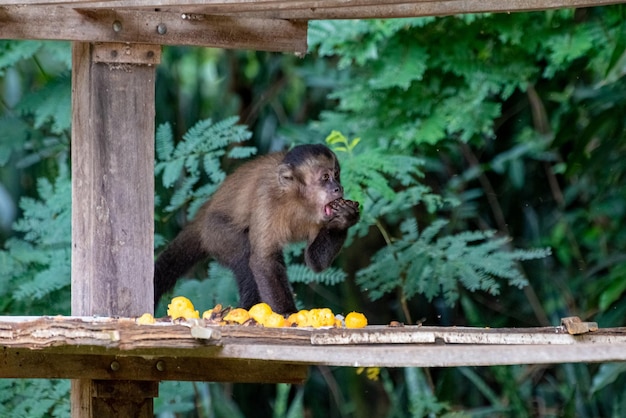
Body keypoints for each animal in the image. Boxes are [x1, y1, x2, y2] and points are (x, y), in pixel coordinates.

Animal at [154, 144, 358, 314]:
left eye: (336, 175)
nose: (338, 188)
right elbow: (263, 261)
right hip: (216, 232)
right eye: (325, 177)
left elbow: (315, 261)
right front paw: (287, 313)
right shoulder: (267, 197)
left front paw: (345, 218)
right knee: (244, 255)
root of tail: (203, 214)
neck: (298, 199)